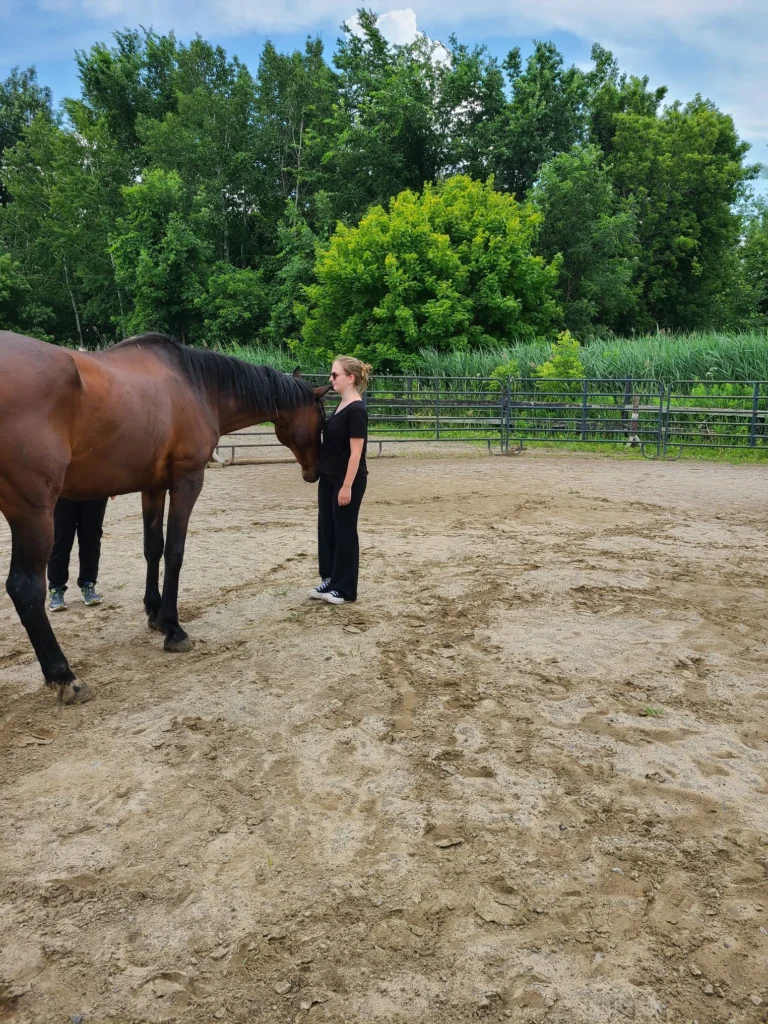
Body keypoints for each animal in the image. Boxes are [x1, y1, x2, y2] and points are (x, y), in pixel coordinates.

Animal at [0, 331, 329, 705]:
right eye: (322, 420)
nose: (315, 472)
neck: (197, 385)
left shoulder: (153, 487)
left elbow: (153, 548)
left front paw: (154, 614)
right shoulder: (187, 482)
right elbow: (175, 551)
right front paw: (173, 627)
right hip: (34, 513)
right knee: (25, 589)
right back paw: (64, 676)